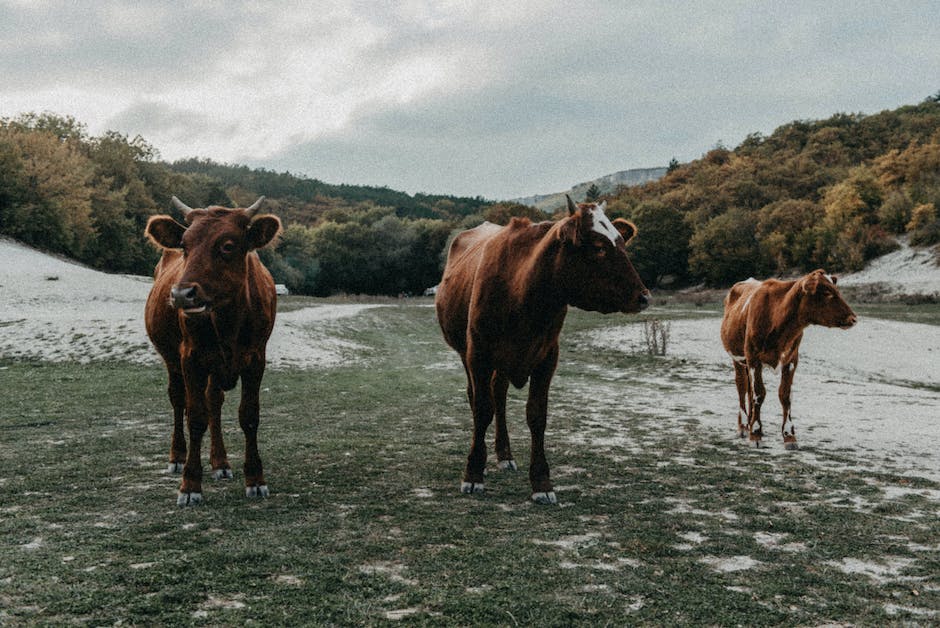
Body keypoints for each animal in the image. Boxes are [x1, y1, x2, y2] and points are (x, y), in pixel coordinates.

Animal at [145, 196, 280, 506]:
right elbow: (195, 417)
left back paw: (220, 462)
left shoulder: (256, 359)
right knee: (178, 400)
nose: (181, 294)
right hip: (172, 360)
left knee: (214, 403)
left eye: (227, 245)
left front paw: (255, 479)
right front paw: (190, 484)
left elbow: (249, 416)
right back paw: (177, 457)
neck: (227, 321)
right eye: (184, 245)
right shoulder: (191, 358)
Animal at [436, 196, 648, 506]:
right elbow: (482, 409)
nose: (644, 297)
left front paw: (541, 482)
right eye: (598, 247)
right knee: (479, 397)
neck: (523, 293)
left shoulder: (547, 357)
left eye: (622, 242)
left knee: (499, 395)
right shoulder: (479, 353)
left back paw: (505, 455)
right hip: (468, 354)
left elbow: (537, 415)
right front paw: (473, 473)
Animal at [720, 268, 860, 448]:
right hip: (738, 359)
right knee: (742, 387)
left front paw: (789, 436)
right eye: (827, 292)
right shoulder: (753, 358)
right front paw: (756, 434)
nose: (853, 318)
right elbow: (759, 394)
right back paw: (744, 427)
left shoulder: (791, 360)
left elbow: (785, 396)